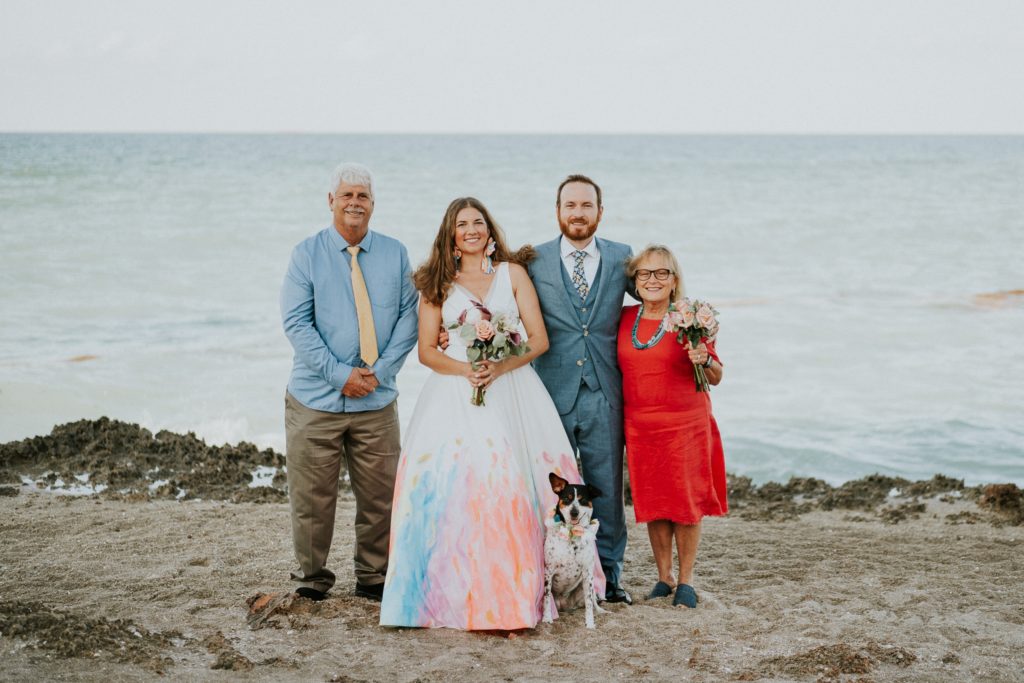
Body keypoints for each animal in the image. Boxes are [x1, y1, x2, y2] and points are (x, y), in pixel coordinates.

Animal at [540, 473, 602, 626]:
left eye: (583, 499)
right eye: (567, 498)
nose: (574, 512)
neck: (572, 532)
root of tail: (565, 605)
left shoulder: (587, 572)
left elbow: (589, 602)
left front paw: (590, 623)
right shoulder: (549, 571)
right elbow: (546, 597)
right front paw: (547, 618)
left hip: (587, 584)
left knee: (593, 599)